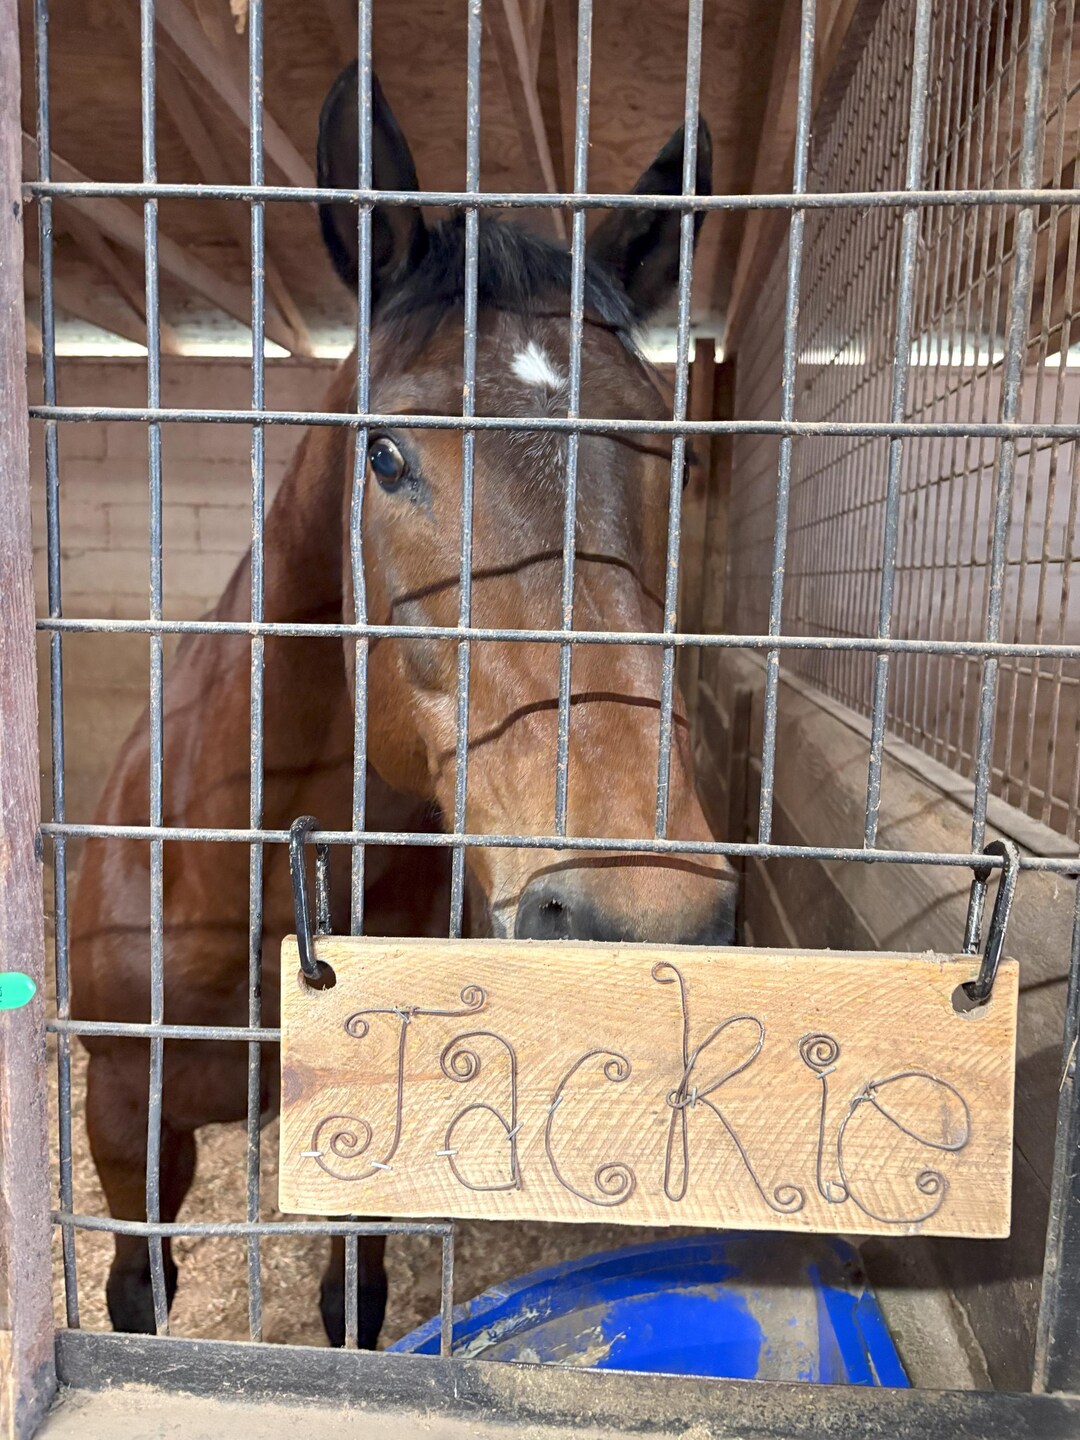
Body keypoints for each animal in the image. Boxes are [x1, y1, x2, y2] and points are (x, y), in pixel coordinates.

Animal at [70, 61, 736, 1349]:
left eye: (674, 456)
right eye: (384, 455)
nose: (645, 916)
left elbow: (357, 1308)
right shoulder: (127, 1124)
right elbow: (139, 1296)